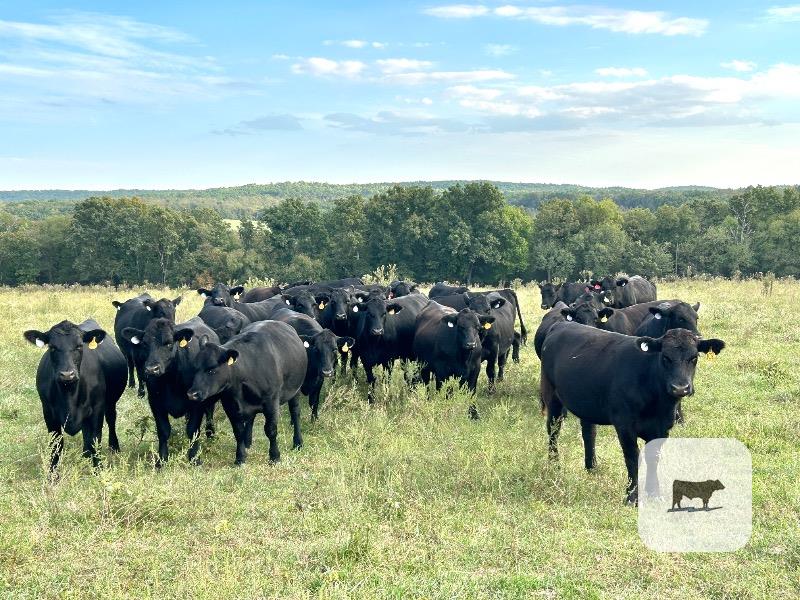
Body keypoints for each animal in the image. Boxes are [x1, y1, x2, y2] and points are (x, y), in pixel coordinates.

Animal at [24, 319, 127, 469]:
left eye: (79, 346)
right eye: (52, 347)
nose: (67, 374)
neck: (69, 395)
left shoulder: (97, 409)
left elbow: (95, 440)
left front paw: (98, 470)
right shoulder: (48, 412)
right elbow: (56, 446)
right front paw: (53, 473)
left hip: (110, 403)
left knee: (111, 419)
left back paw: (114, 448)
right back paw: (85, 454)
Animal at [120, 317, 219, 465]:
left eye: (169, 343)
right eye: (145, 344)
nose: (152, 369)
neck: (171, 380)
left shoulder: (196, 402)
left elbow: (193, 430)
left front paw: (194, 458)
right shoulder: (155, 402)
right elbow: (163, 430)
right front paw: (162, 460)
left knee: (209, 414)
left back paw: (210, 434)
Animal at [185, 321, 307, 465]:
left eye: (211, 369)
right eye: (194, 368)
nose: (192, 394)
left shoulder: (271, 402)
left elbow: (271, 430)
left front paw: (275, 456)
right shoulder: (230, 405)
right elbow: (238, 431)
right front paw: (240, 457)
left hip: (296, 390)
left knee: (295, 413)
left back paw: (298, 442)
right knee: (251, 419)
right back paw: (248, 442)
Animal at [540, 322, 725, 505]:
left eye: (694, 358)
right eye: (665, 357)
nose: (680, 388)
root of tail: (561, 324)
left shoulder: (663, 427)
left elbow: (653, 457)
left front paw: (654, 493)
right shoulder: (624, 424)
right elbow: (632, 458)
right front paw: (631, 496)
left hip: (587, 403)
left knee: (589, 432)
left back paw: (591, 467)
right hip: (552, 396)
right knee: (553, 430)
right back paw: (554, 465)